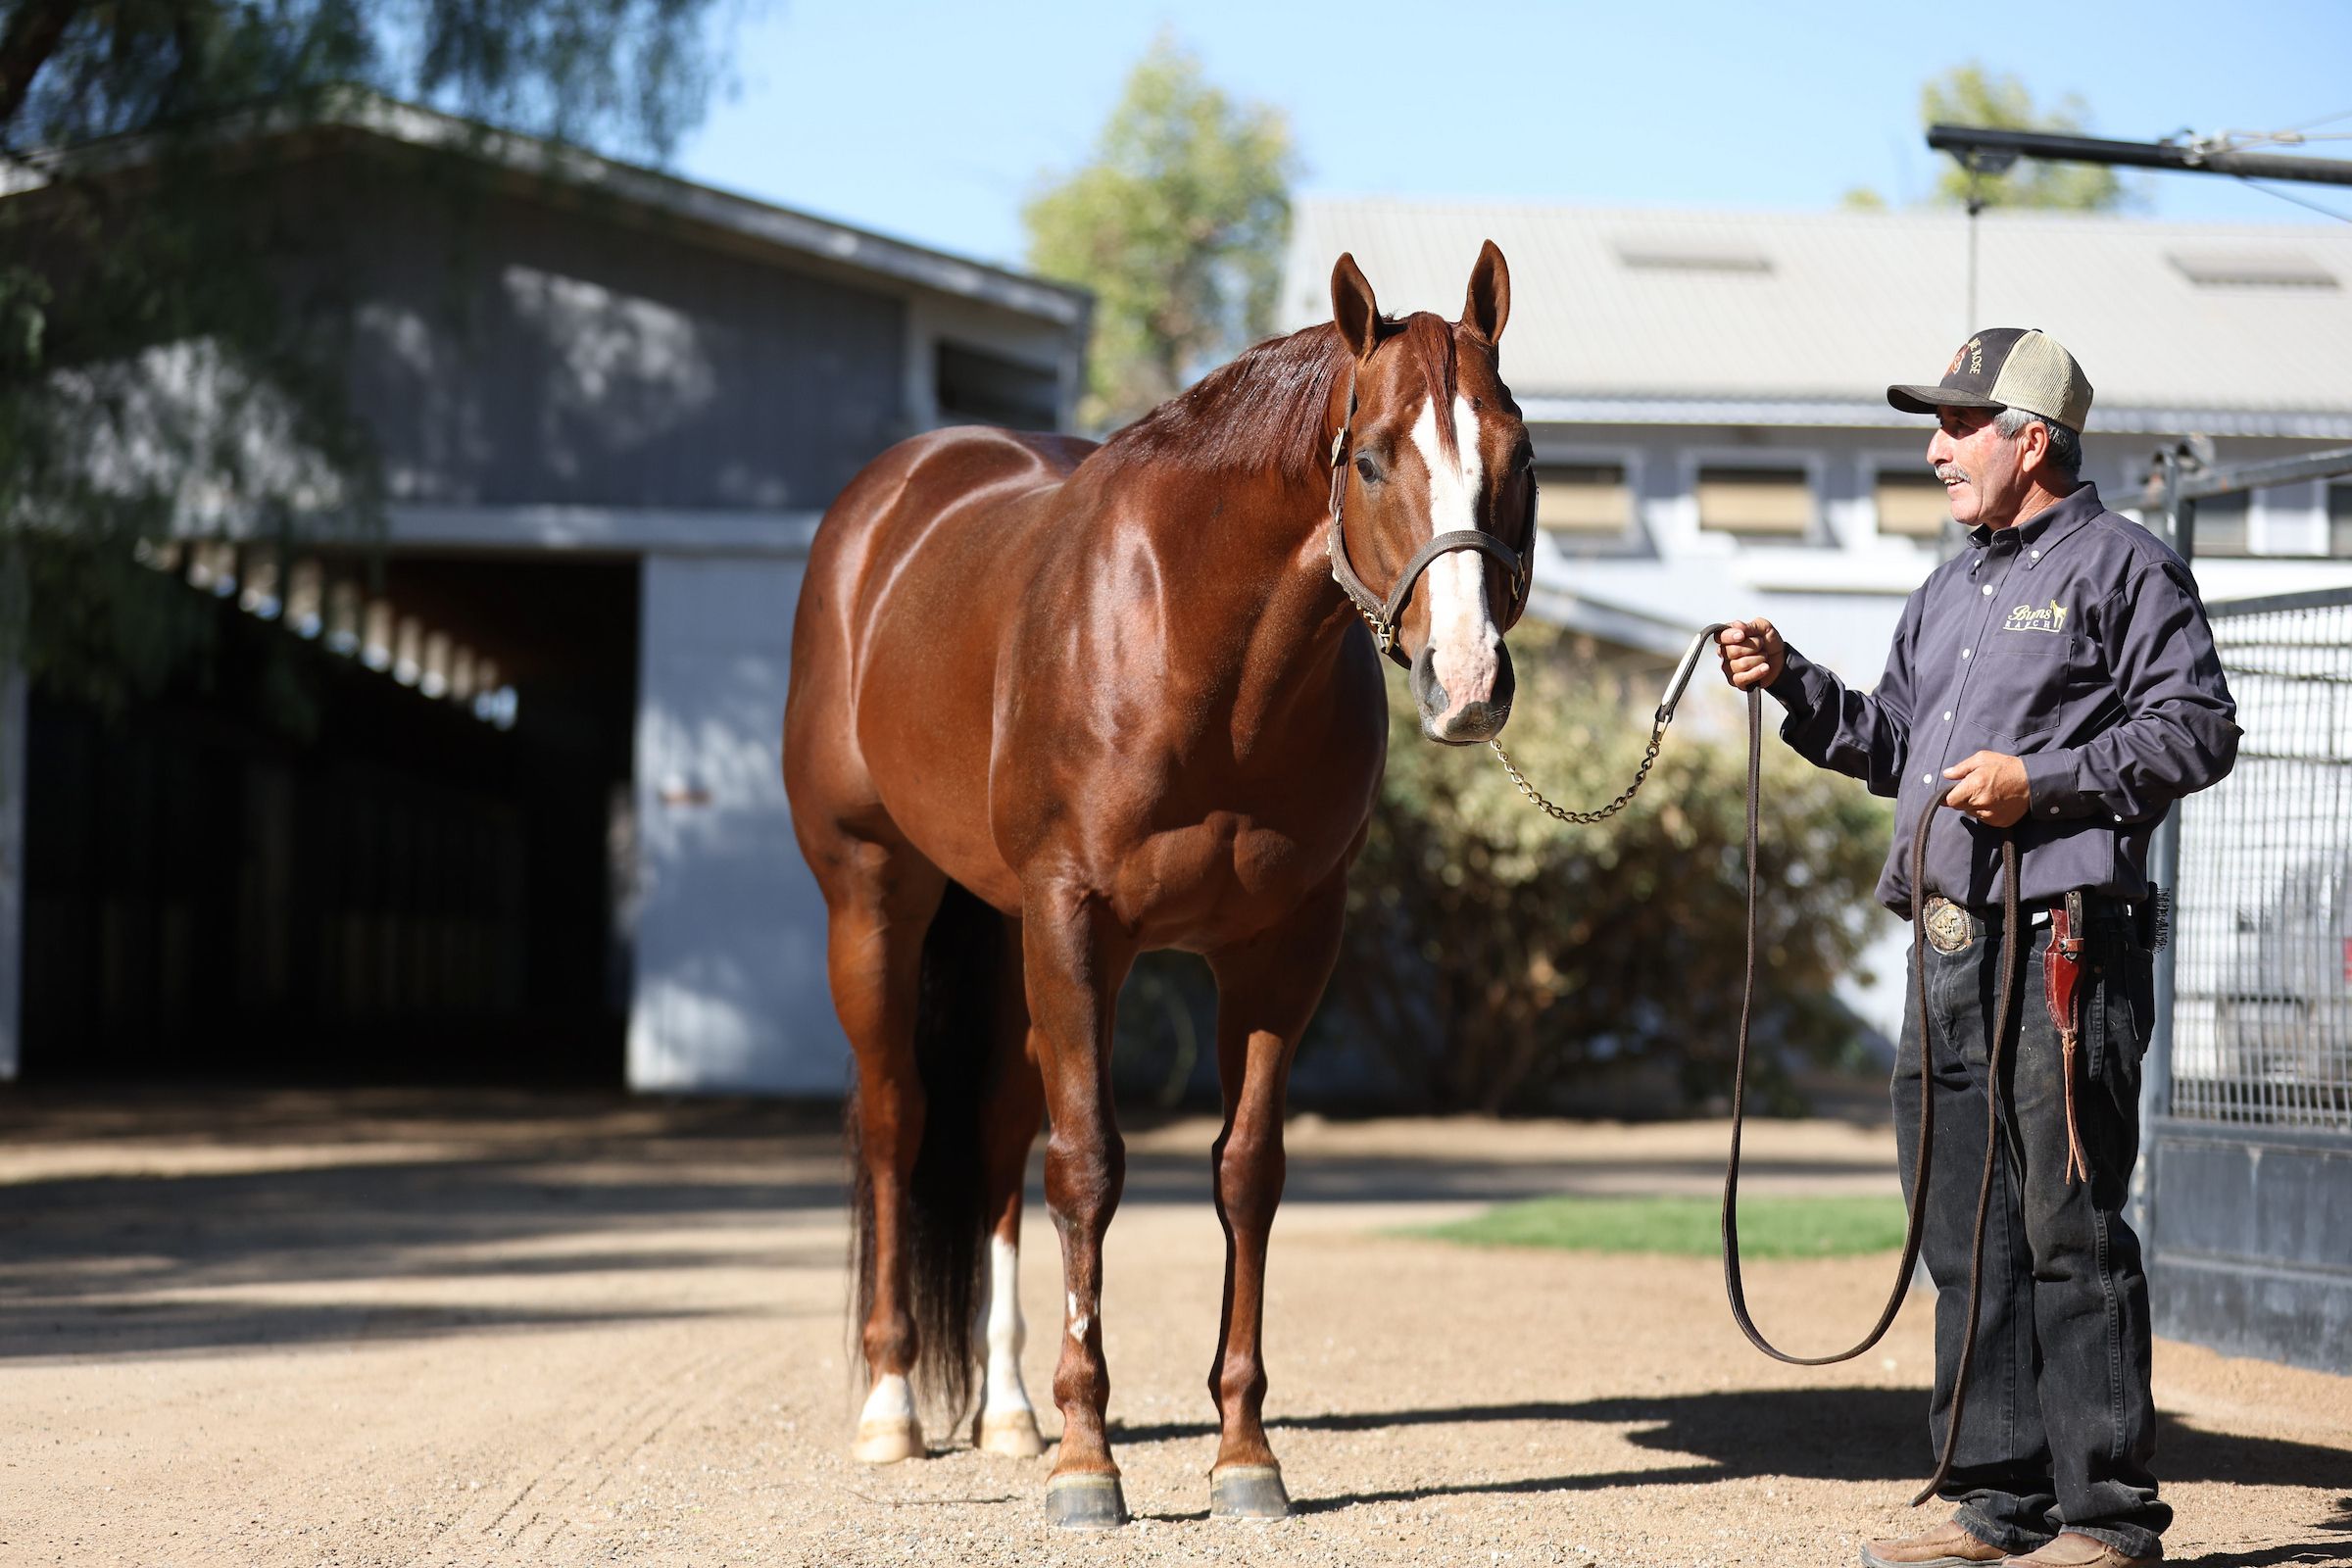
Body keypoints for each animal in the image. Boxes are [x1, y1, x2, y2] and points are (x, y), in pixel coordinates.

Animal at [781, 243, 1535, 1528]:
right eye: (1373, 458)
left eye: (1519, 456)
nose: (1469, 680)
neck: (1197, 644)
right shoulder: (1078, 923)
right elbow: (1088, 1167)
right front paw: (1091, 1464)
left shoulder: (1284, 947)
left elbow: (1246, 1172)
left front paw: (1244, 1454)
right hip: (873, 898)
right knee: (896, 1121)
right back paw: (892, 1409)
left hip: (1003, 931)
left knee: (994, 1132)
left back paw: (1007, 1411)